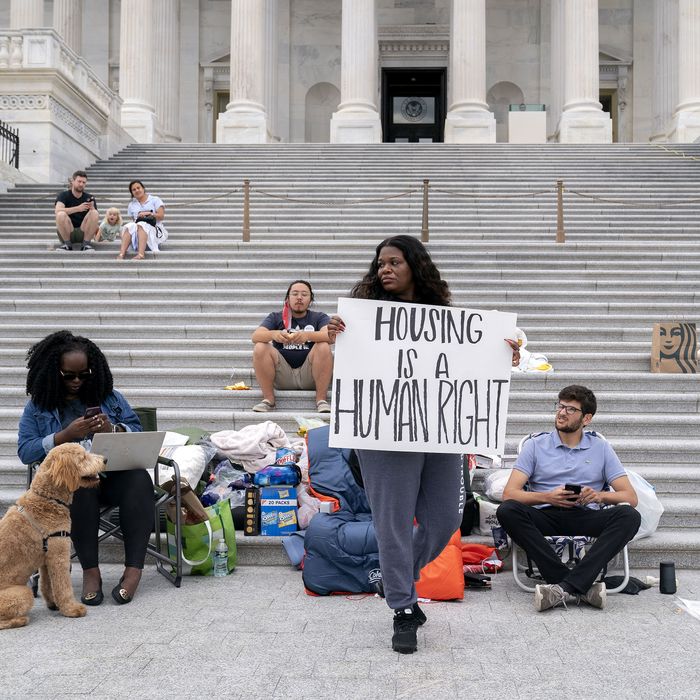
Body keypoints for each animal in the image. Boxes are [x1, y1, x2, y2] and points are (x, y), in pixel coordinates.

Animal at [0, 442, 104, 628]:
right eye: (83, 457)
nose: (105, 460)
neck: (48, 499)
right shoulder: (59, 555)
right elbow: (63, 586)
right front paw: (72, 609)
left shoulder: (47, 557)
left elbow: (48, 585)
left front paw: (53, 604)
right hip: (22, 593)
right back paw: (20, 619)